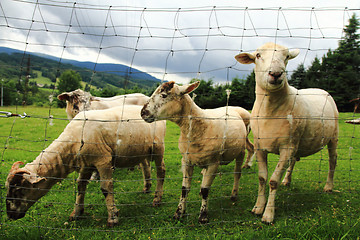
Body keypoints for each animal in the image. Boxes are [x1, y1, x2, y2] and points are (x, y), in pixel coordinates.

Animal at [5, 105, 166, 227]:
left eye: (20, 190)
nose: (10, 215)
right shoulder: (86, 164)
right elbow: (80, 186)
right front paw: (76, 213)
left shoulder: (103, 160)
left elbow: (106, 188)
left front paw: (113, 218)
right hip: (141, 150)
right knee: (145, 166)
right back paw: (146, 187)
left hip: (158, 147)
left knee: (161, 171)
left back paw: (157, 199)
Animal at [141, 80, 250, 223]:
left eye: (164, 95)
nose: (143, 112)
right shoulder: (187, 161)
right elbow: (185, 189)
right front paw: (179, 212)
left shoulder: (213, 163)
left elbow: (205, 190)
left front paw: (203, 215)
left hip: (241, 151)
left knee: (237, 174)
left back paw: (234, 194)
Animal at [235, 42, 338, 224]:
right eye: (258, 55)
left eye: (287, 57)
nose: (276, 74)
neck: (270, 110)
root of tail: (321, 89)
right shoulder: (261, 147)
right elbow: (262, 178)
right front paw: (258, 207)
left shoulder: (287, 147)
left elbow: (273, 181)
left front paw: (268, 215)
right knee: (294, 160)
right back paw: (287, 180)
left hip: (333, 136)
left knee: (333, 161)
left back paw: (328, 186)